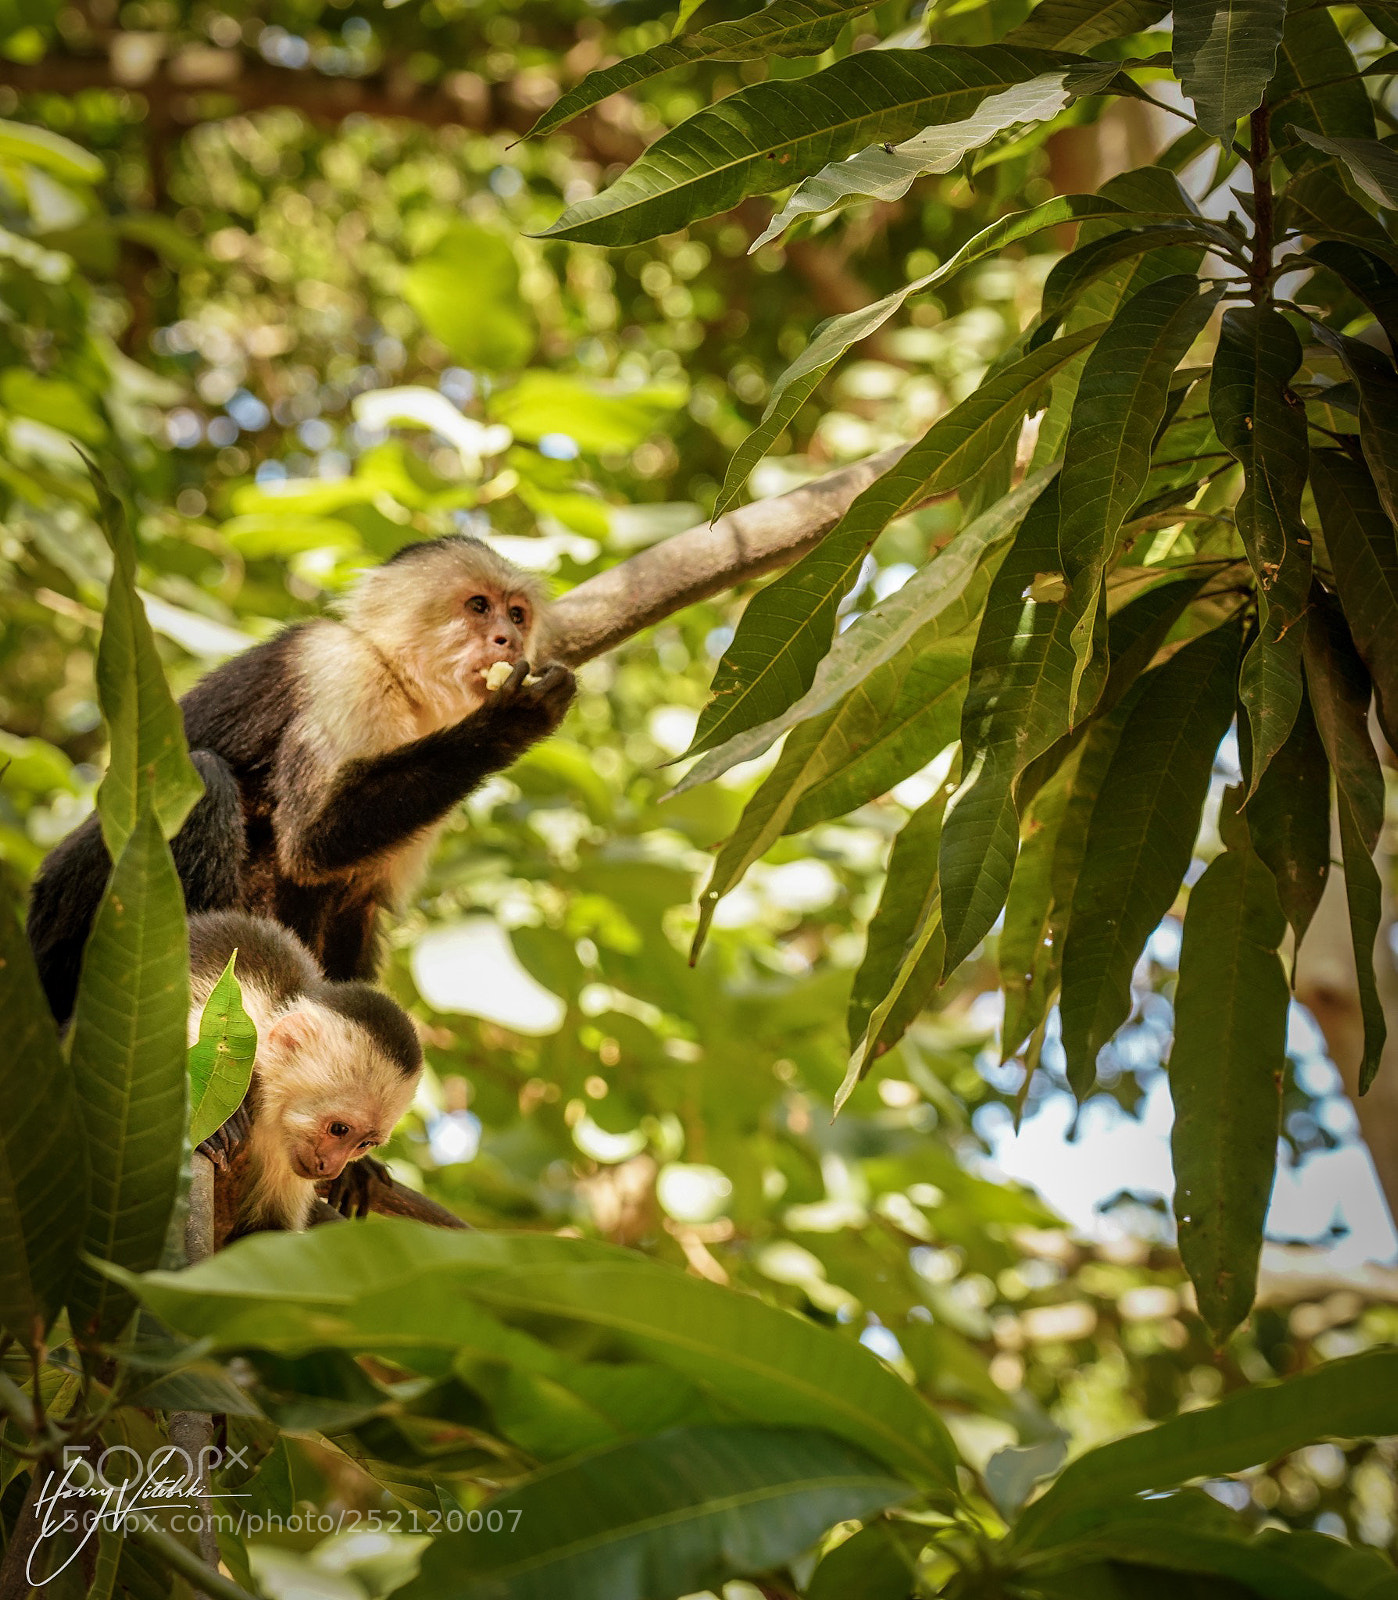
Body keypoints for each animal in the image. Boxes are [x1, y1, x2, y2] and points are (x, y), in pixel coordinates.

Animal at [28, 536, 576, 1024]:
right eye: (479, 606)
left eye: (517, 615)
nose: (508, 639)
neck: (400, 681)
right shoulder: (339, 669)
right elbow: (309, 843)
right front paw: (507, 722)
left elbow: (354, 901)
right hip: (71, 911)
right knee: (202, 779)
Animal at [188, 910, 422, 1243]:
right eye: (339, 1129)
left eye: (365, 1144)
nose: (330, 1169)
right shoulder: (234, 1028)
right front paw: (218, 1129)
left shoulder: (284, 1149)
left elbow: (265, 1229)